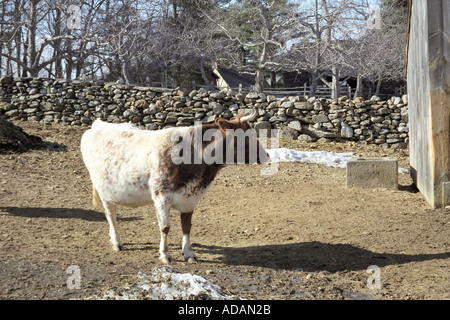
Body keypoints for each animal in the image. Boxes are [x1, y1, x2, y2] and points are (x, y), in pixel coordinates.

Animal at [79, 111, 268, 264]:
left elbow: (186, 226)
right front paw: (165, 254)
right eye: (245, 137)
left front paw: (189, 253)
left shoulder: (190, 198)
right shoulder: (161, 197)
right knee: (111, 215)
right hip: (102, 190)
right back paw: (117, 242)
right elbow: (165, 228)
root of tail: (99, 124)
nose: (266, 156)